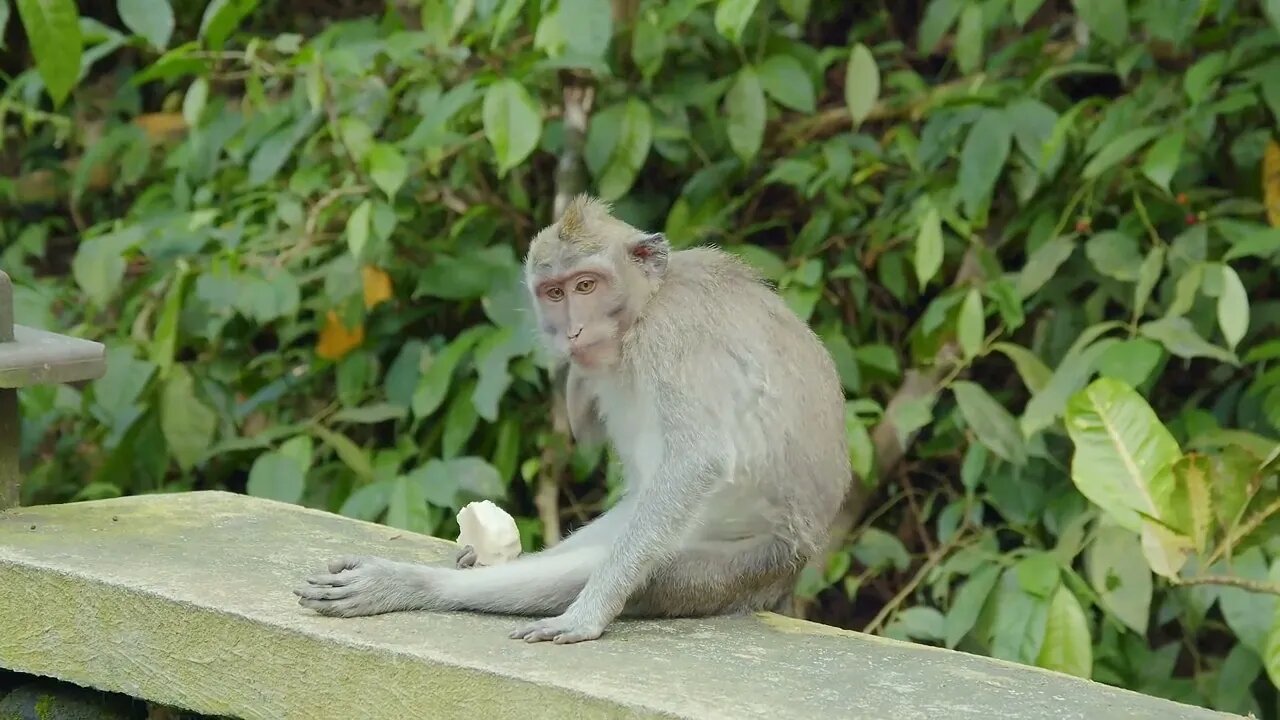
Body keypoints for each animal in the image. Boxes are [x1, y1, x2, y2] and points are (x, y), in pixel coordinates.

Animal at [291, 193, 849, 640]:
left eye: (586, 285)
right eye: (555, 293)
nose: (573, 331)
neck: (644, 309)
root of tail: (795, 566)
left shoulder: (672, 335)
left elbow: (698, 461)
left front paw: (589, 613)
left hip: (743, 566)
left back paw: (419, 585)